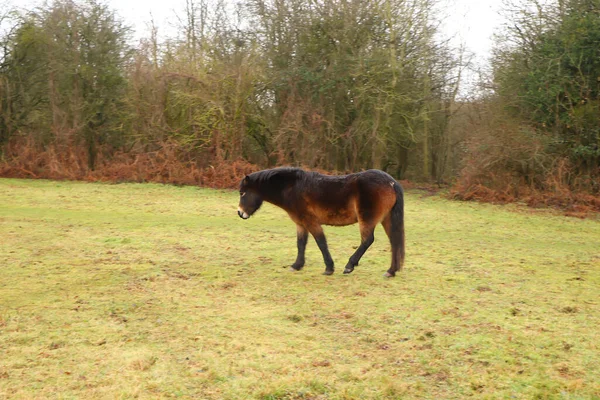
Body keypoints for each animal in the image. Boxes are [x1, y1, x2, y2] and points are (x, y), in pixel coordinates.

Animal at [237, 167, 406, 276]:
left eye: (242, 193)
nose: (240, 213)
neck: (293, 188)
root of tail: (391, 182)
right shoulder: (301, 224)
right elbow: (301, 244)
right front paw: (297, 265)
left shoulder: (311, 221)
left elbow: (321, 242)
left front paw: (329, 268)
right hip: (386, 219)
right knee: (394, 241)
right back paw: (391, 271)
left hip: (367, 220)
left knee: (367, 240)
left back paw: (349, 266)